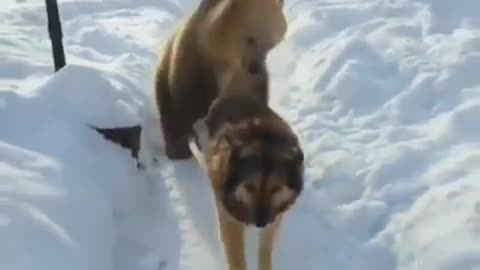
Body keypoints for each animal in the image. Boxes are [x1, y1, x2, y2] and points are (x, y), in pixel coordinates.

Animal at [156, 0, 286, 160]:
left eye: (271, 45)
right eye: (251, 39)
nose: (254, 67)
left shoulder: (245, 81)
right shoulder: (194, 62)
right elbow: (184, 99)